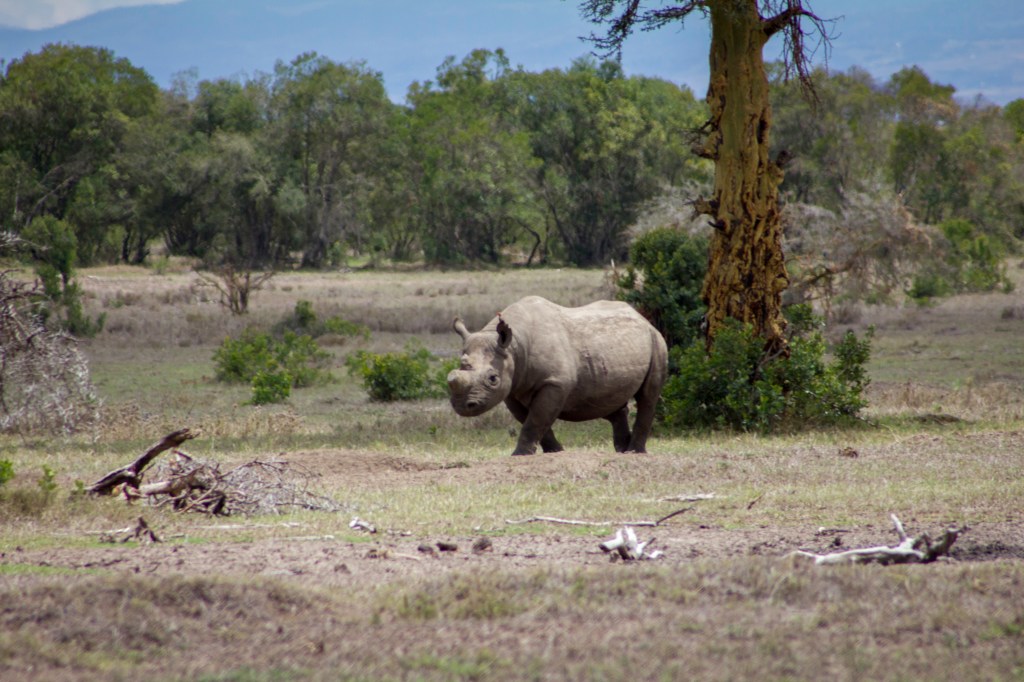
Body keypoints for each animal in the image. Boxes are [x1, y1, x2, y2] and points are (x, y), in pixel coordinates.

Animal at [447, 296, 668, 456]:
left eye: (493, 379)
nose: (463, 406)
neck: (513, 347)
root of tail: (643, 318)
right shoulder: (512, 388)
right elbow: (531, 419)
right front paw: (555, 451)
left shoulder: (555, 383)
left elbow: (535, 420)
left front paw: (520, 454)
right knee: (611, 399)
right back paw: (622, 451)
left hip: (656, 340)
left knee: (648, 396)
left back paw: (635, 452)